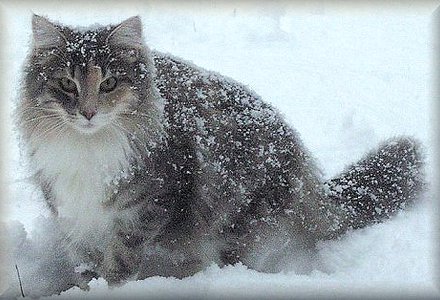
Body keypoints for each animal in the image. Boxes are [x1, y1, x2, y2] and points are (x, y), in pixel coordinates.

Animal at [12, 14, 424, 296]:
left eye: (109, 83)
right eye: (67, 83)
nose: (88, 113)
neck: (87, 148)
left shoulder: (146, 210)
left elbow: (120, 265)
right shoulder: (71, 215)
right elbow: (84, 267)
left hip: (236, 219)